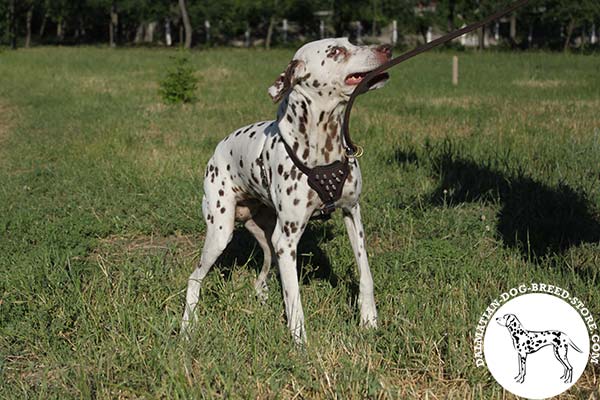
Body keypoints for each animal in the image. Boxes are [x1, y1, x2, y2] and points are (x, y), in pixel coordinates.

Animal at [180, 38, 392, 344]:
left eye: (351, 41)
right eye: (335, 51)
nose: (387, 48)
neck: (323, 147)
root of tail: (218, 149)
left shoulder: (353, 215)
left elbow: (365, 275)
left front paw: (369, 322)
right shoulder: (288, 240)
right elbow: (294, 296)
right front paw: (300, 341)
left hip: (268, 241)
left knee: (261, 277)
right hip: (222, 234)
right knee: (194, 277)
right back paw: (187, 326)